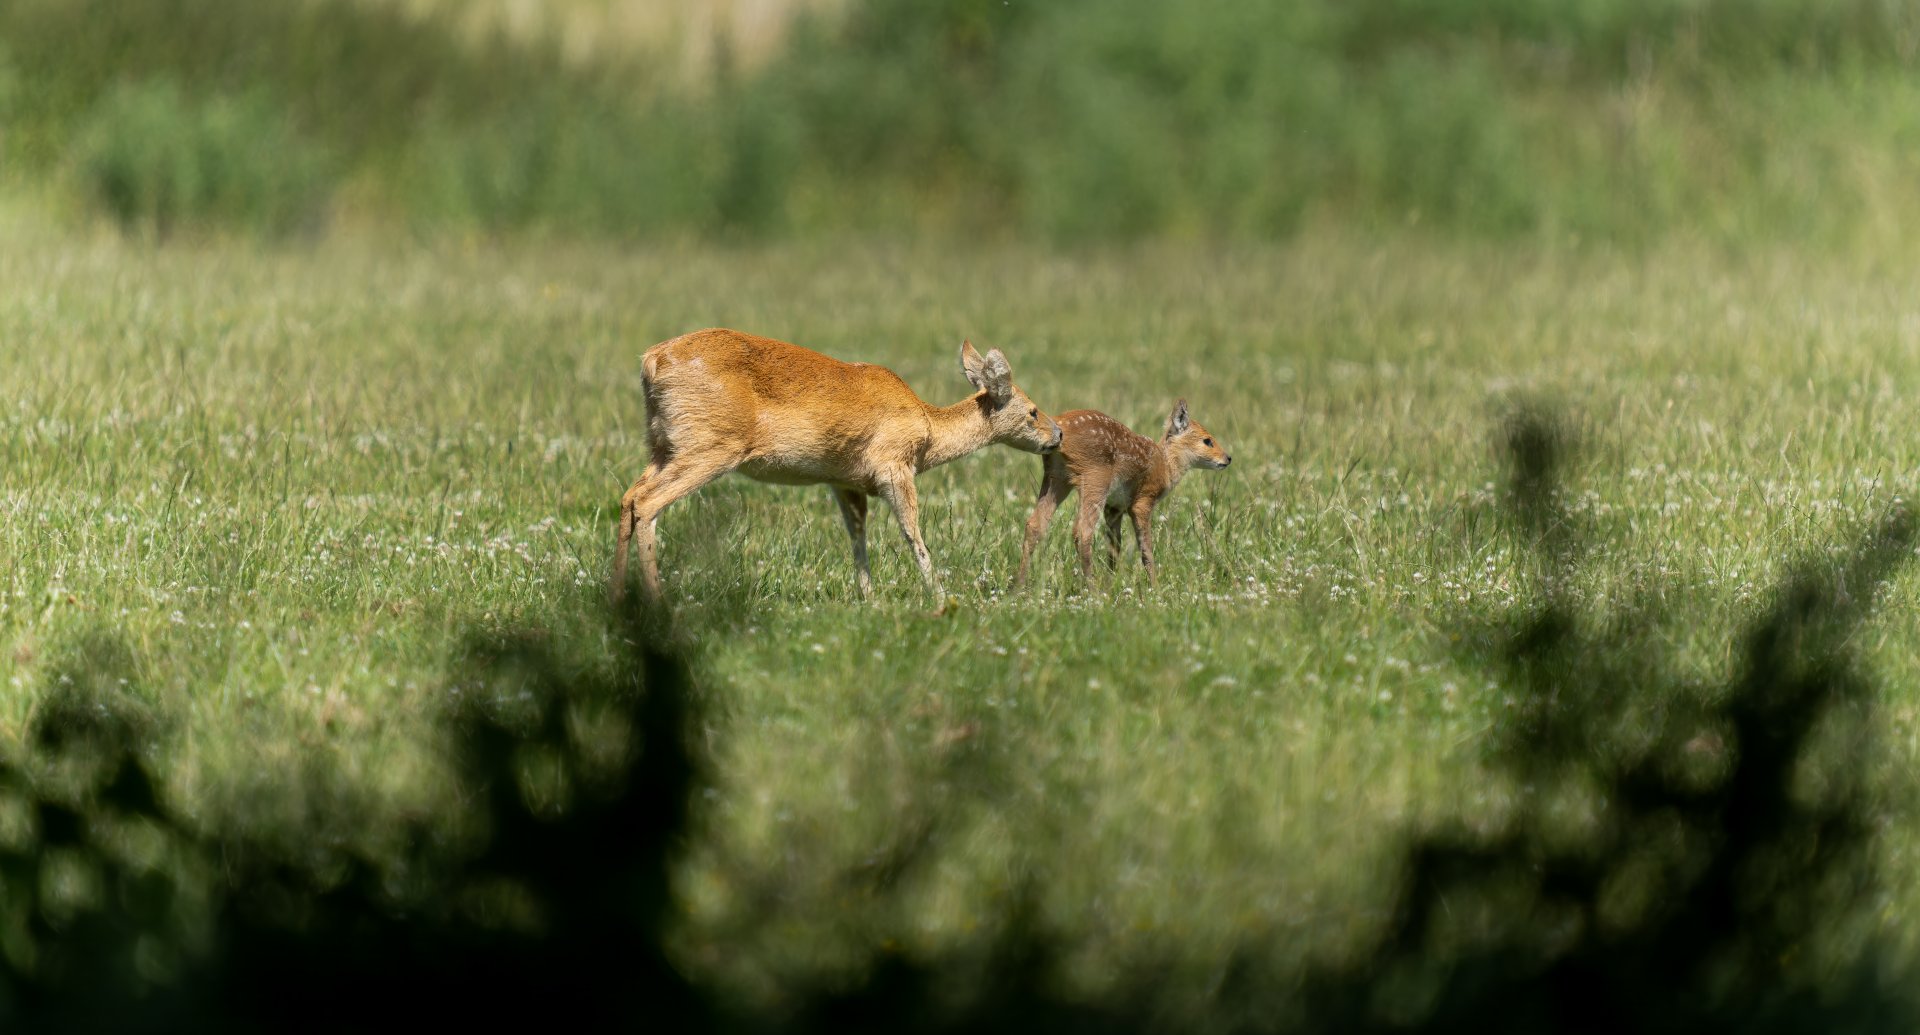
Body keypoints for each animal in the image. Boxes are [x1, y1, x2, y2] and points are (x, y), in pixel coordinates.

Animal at [611, 328, 1063, 602]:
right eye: (1032, 411)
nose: (1058, 434)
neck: (928, 428)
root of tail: (651, 361)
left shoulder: (845, 482)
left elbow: (857, 538)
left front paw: (869, 598)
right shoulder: (894, 469)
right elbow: (913, 534)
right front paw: (940, 598)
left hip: (663, 446)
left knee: (629, 496)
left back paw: (616, 596)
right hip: (710, 447)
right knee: (648, 503)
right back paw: (657, 601)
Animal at [1013, 400, 1231, 589]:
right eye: (1207, 440)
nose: (1228, 458)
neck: (1166, 468)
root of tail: (1058, 426)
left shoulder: (1114, 507)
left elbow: (1114, 547)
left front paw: (1112, 582)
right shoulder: (1143, 500)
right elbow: (1146, 550)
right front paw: (1156, 588)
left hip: (1057, 478)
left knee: (1034, 524)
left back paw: (1019, 586)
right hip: (1095, 478)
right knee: (1082, 531)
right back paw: (1093, 590)